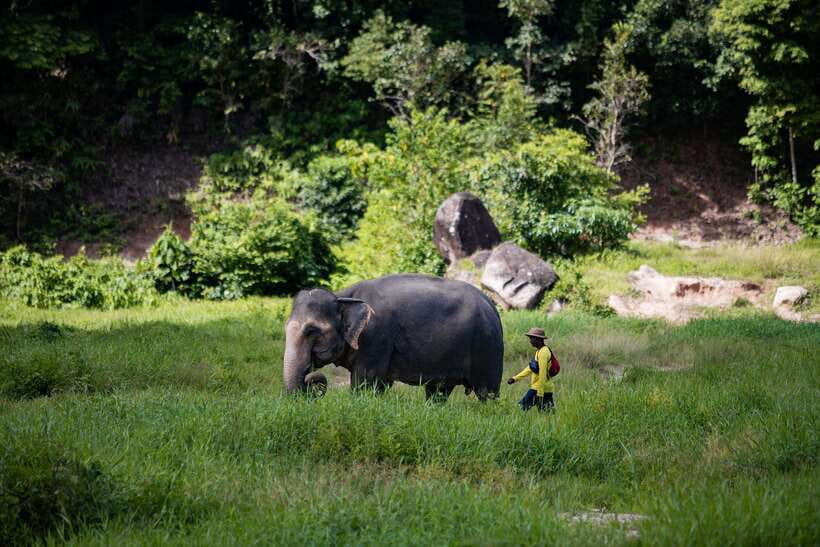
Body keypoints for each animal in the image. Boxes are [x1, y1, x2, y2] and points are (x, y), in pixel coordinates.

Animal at [283, 274, 503, 401]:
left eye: (311, 331)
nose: (311, 380)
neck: (342, 296)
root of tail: (491, 304)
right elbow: (379, 385)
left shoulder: (375, 338)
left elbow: (365, 383)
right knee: (438, 391)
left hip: (487, 347)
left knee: (487, 393)